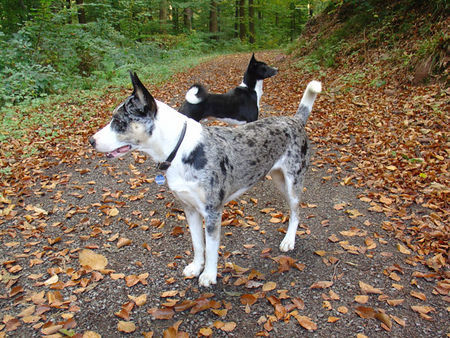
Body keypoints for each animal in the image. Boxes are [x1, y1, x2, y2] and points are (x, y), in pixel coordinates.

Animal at [89, 72, 320, 286]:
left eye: (118, 121)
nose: (91, 141)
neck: (180, 149)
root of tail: (295, 119)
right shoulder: (189, 208)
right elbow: (198, 244)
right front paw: (196, 267)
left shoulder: (212, 213)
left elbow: (210, 248)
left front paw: (209, 275)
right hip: (278, 178)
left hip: (293, 181)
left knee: (296, 211)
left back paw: (289, 240)